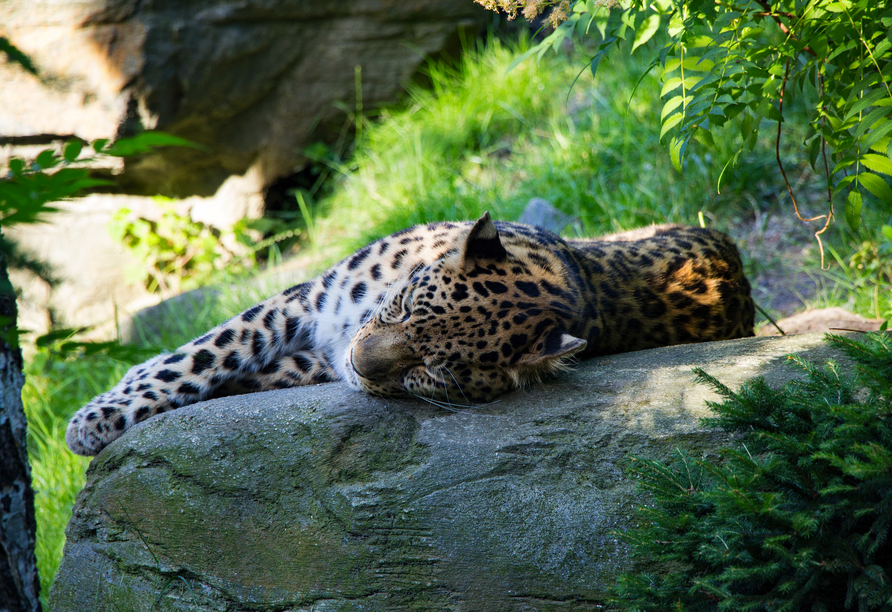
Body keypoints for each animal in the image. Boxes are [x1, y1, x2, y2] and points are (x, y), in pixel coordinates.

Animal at [68, 210, 752, 454]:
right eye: (400, 307)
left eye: (432, 373)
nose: (361, 360)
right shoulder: (311, 299)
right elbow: (206, 352)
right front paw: (96, 419)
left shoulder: (324, 352)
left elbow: (240, 367)